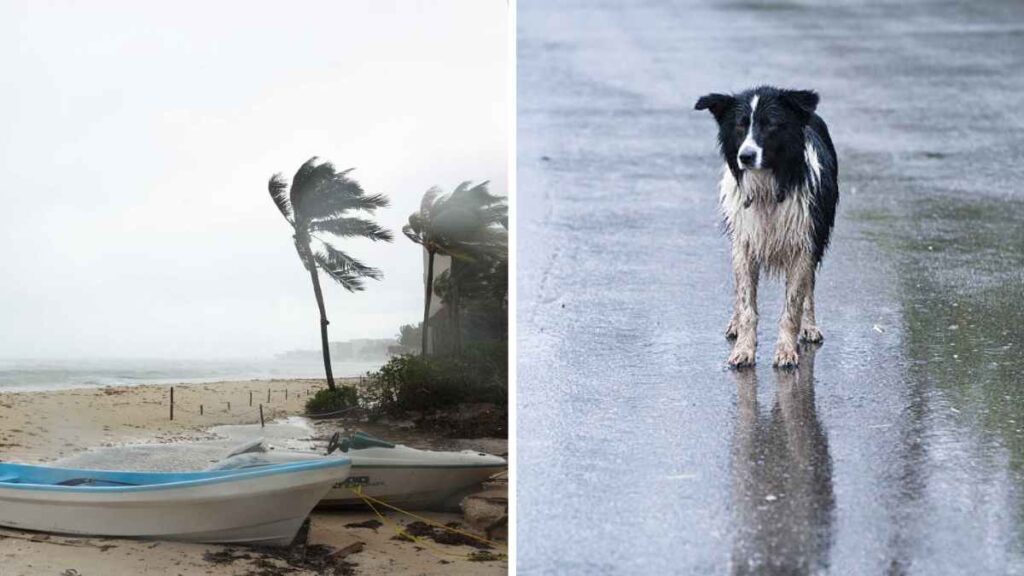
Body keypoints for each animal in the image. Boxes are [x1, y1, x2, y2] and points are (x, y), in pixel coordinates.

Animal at [696, 85, 839, 366]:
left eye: (771, 125)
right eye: (740, 126)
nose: (745, 156)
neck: (767, 188)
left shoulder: (804, 243)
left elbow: (793, 305)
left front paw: (786, 351)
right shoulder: (744, 243)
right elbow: (746, 303)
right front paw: (743, 349)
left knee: (809, 287)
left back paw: (809, 326)